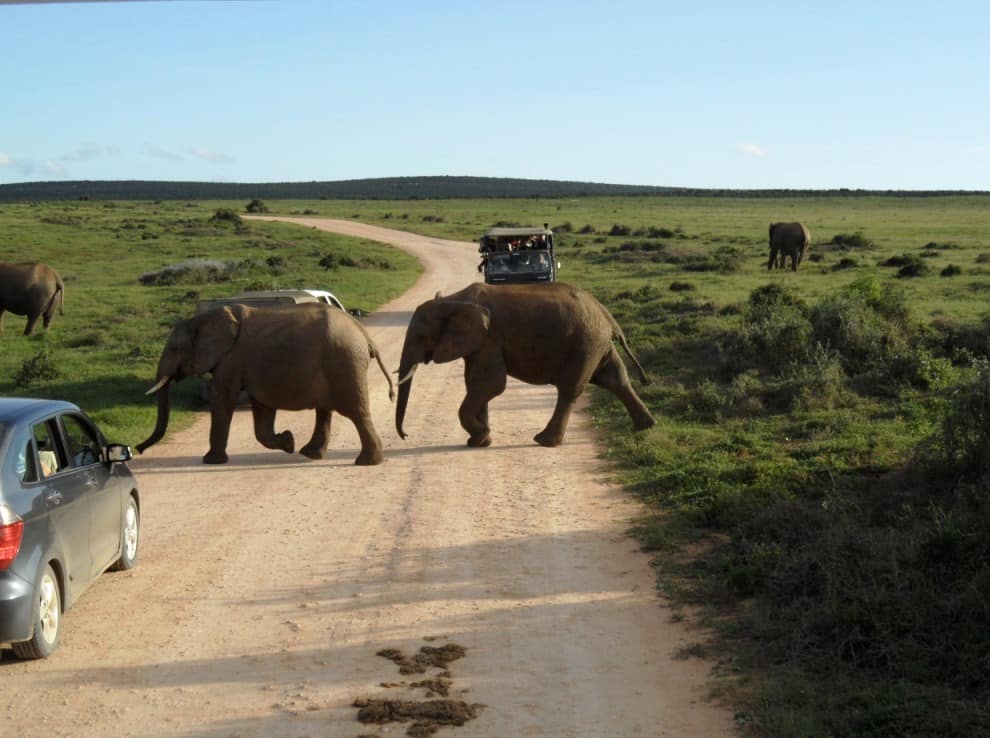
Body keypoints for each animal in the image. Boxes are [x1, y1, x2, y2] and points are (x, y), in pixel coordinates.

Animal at [136, 302, 394, 465]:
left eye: (174, 349)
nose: (138, 448)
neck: (202, 319)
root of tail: (363, 333)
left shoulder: (232, 359)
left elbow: (223, 399)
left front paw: (210, 461)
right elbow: (261, 408)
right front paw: (288, 442)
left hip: (344, 362)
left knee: (356, 412)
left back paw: (366, 463)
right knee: (326, 410)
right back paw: (309, 454)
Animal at [394, 282, 656, 448]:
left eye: (420, 337)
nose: (405, 435)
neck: (453, 300)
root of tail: (606, 314)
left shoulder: (489, 338)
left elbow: (491, 384)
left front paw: (481, 437)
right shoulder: (479, 343)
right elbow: (476, 384)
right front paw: (479, 442)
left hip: (585, 345)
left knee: (570, 390)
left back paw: (544, 441)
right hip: (598, 345)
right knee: (616, 379)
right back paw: (646, 427)